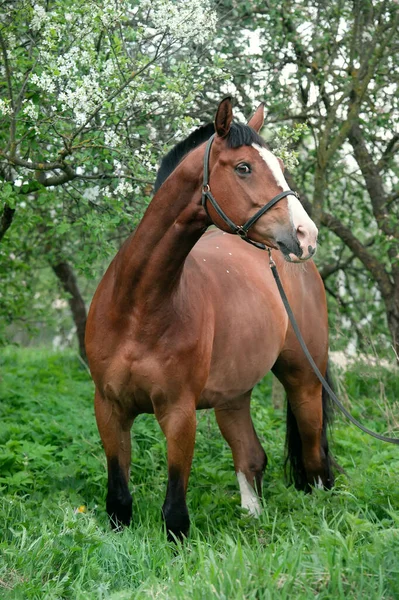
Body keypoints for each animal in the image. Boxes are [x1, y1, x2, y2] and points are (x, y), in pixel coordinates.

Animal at [86, 97, 336, 540]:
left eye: (279, 165)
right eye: (244, 167)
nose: (306, 235)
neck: (139, 308)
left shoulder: (179, 412)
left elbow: (174, 511)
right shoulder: (109, 407)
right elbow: (118, 500)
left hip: (305, 381)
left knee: (313, 460)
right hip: (233, 396)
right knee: (250, 456)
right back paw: (252, 518)